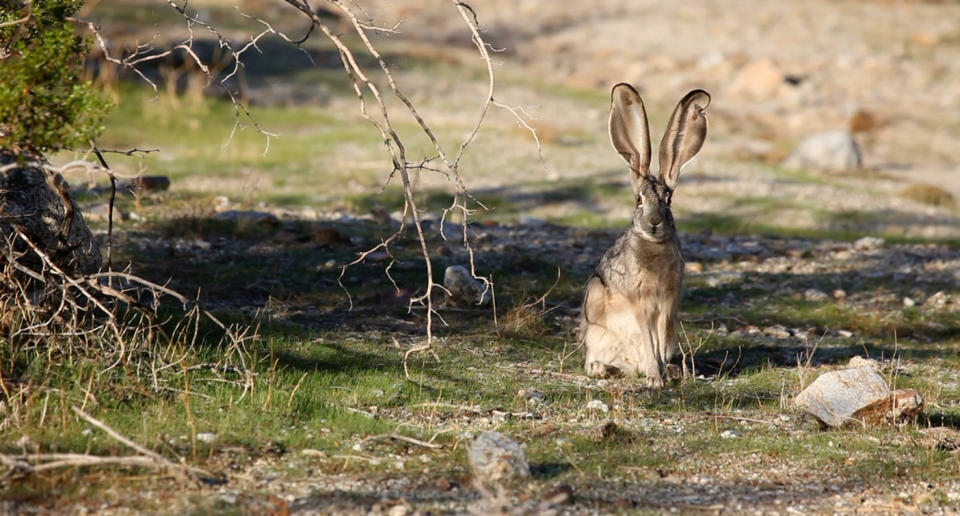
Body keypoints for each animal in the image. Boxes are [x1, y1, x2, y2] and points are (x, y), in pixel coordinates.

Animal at [576, 81, 704, 388]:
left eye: (668, 200)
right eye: (638, 200)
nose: (655, 222)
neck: (654, 244)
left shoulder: (667, 301)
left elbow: (659, 337)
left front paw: (661, 373)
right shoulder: (640, 300)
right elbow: (648, 336)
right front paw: (655, 378)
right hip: (595, 301)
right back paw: (605, 368)